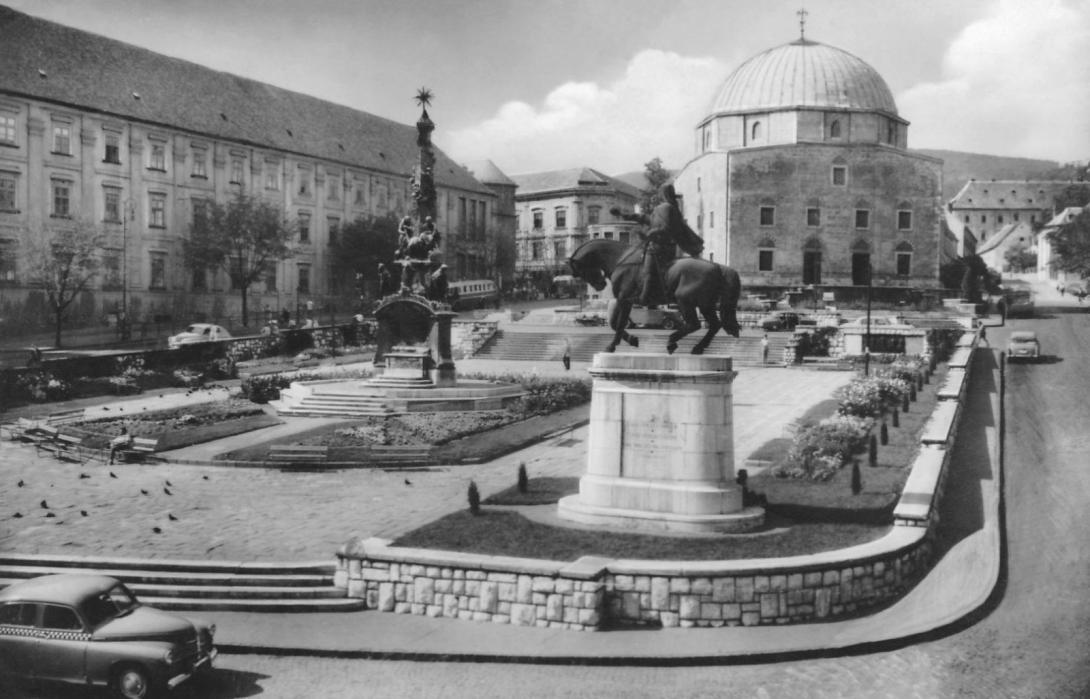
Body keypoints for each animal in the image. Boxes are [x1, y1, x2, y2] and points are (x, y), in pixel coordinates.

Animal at [568, 239, 741, 354]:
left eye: (579, 270)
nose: (600, 285)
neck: (620, 260)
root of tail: (717, 266)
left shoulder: (625, 300)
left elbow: (620, 324)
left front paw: (611, 346)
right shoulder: (623, 301)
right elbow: (615, 324)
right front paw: (632, 340)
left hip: (686, 302)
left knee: (694, 324)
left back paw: (672, 342)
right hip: (705, 304)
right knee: (714, 325)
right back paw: (698, 347)